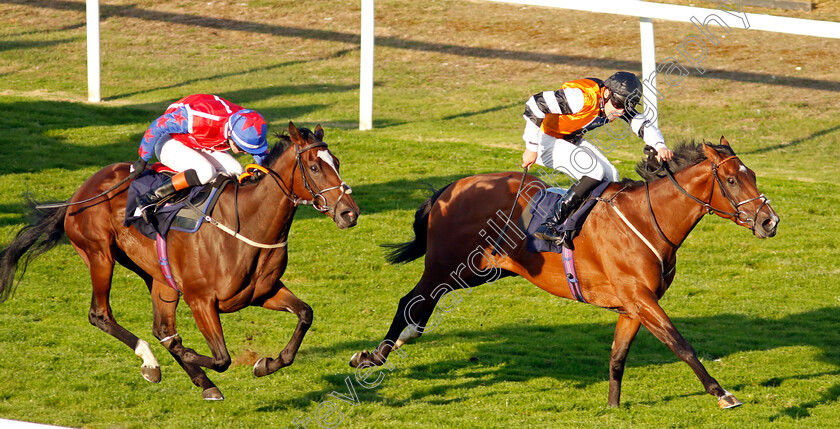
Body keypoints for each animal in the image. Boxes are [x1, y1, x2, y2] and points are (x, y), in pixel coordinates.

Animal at [0, 122, 358, 400]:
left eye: (338, 162)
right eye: (315, 167)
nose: (349, 213)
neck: (246, 223)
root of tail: (79, 193)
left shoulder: (262, 292)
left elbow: (305, 314)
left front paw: (266, 364)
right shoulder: (201, 300)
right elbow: (221, 357)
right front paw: (190, 355)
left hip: (159, 277)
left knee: (162, 327)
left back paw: (201, 382)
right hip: (100, 256)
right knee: (101, 315)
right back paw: (150, 362)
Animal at [350, 137, 780, 408]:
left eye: (753, 175)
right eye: (730, 180)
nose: (769, 221)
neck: (647, 218)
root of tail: (449, 188)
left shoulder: (633, 306)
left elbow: (617, 356)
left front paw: (612, 406)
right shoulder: (640, 298)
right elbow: (681, 344)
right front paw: (722, 394)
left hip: (479, 270)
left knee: (426, 301)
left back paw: (402, 340)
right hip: (446, 264)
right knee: (411, 300)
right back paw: (373, 355)